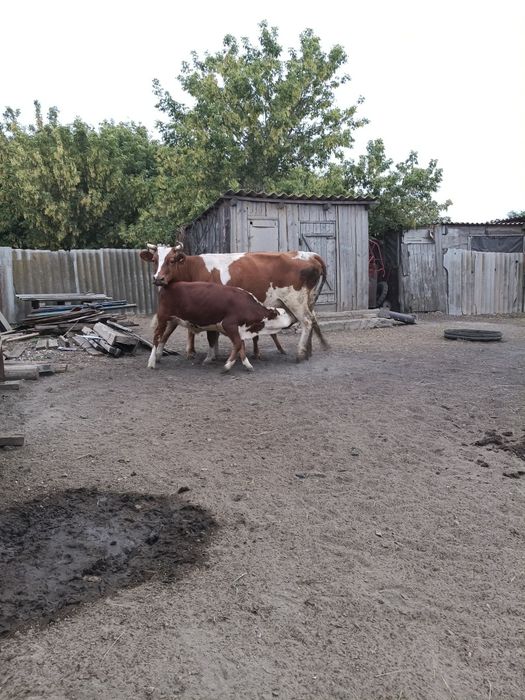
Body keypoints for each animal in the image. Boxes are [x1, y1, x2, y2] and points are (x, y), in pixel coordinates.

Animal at [140, 244, 328, 362]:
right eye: (155, 260)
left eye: (171, 260)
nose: (158, 278)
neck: (193, 269)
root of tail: (309, 255)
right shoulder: (178, 307)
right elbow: (168, 331)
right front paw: (157, 355)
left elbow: (210, 334)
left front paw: (211, 356)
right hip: (307, 300)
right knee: (313, 320)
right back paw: (310, 351)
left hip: (295, 301)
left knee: (307, 321)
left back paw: (301, 354)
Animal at [149, 281, 297, 373]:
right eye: (283, 312)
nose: (294, 317)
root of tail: (168, 286)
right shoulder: (229, 325)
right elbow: (238, 344)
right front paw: (227, 366)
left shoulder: (240, 329)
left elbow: (241, 346)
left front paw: (247, 364)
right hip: (163, 318)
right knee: (156, 337)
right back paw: (151, 362)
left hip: (172, 321)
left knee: (164, 337)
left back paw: (158, 356)